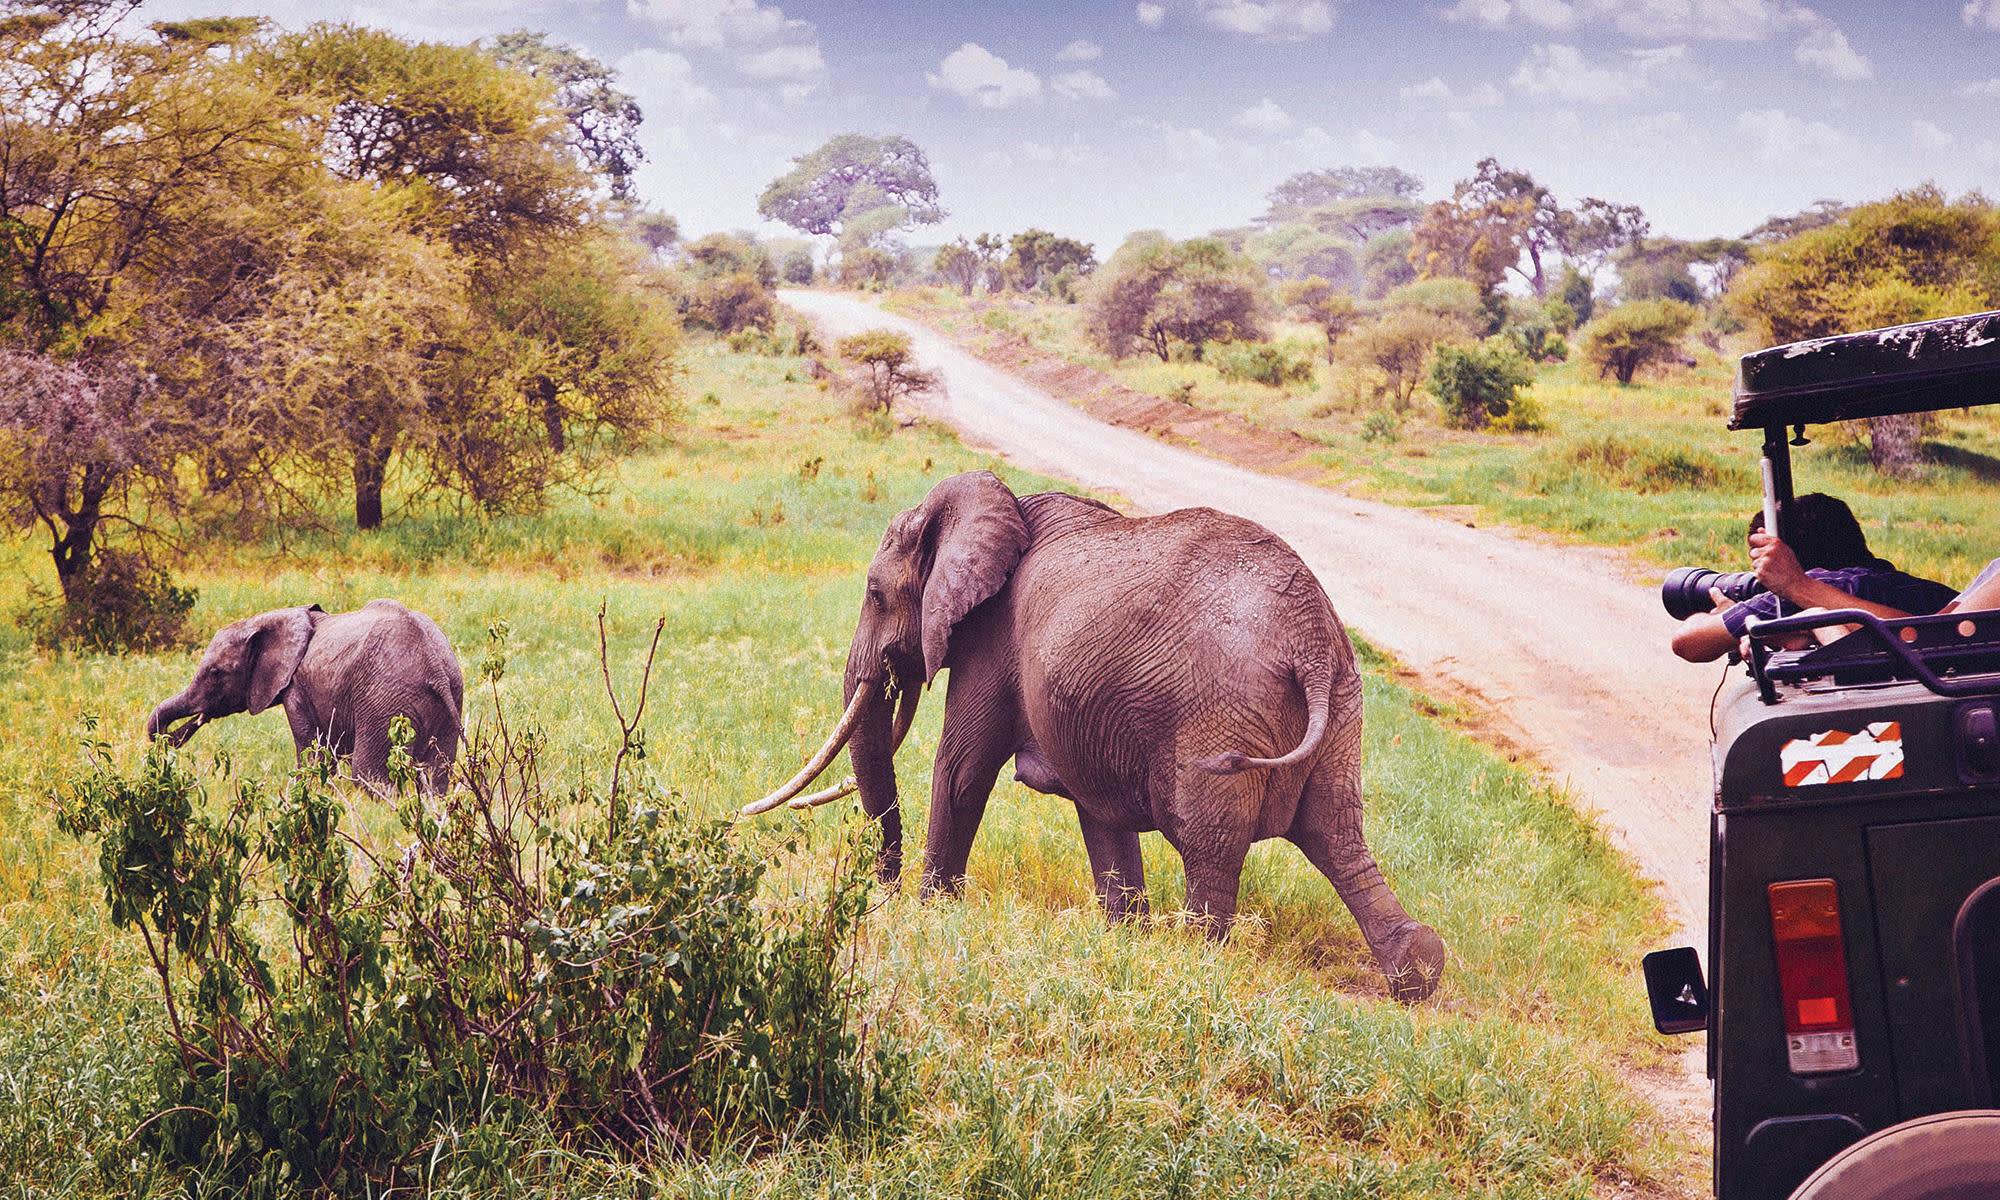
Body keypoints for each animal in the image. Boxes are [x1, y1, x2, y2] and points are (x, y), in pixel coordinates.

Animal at [146, 596, 462, 792]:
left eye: (215, 672)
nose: (168, 738)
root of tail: (435, 668)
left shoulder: (296, 689)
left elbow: (313, 753)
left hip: (385, 703)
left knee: (368, 775)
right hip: (447, 700)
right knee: (435, 777)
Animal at [748, 468, 1440, 1004]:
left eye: (873, 592)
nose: (879, 891)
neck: (999, 509)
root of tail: (1309, 640)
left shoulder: (992, 640)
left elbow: (962, 769)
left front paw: (930, 916)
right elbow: (1098, 813)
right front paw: (1125, 937)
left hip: (1221, 715)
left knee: (1213, 845)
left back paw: (1194, 964)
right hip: (1344, 705)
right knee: (1337, 834)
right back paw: (1418, 972)